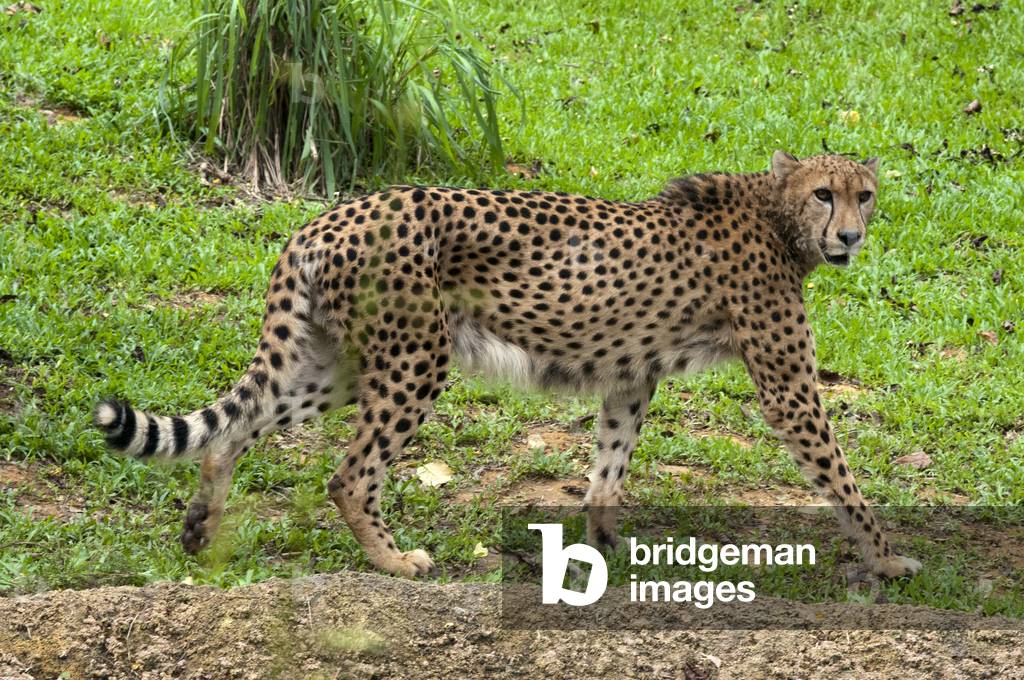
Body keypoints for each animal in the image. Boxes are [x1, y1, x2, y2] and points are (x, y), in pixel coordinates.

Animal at [93, 150, 921, 579]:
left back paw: (201, 530)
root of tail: (326, 216)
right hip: (412, 361)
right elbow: (842, 475)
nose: (851, 236)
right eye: (825, 193)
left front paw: (603, 546)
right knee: (349, 474)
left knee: (235, 431)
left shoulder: (631, 375)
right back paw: (395, 562)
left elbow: (609, 463)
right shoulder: (787, 386)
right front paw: (888, 560)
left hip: (338, 362)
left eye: (866, 195)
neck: (779, 216)